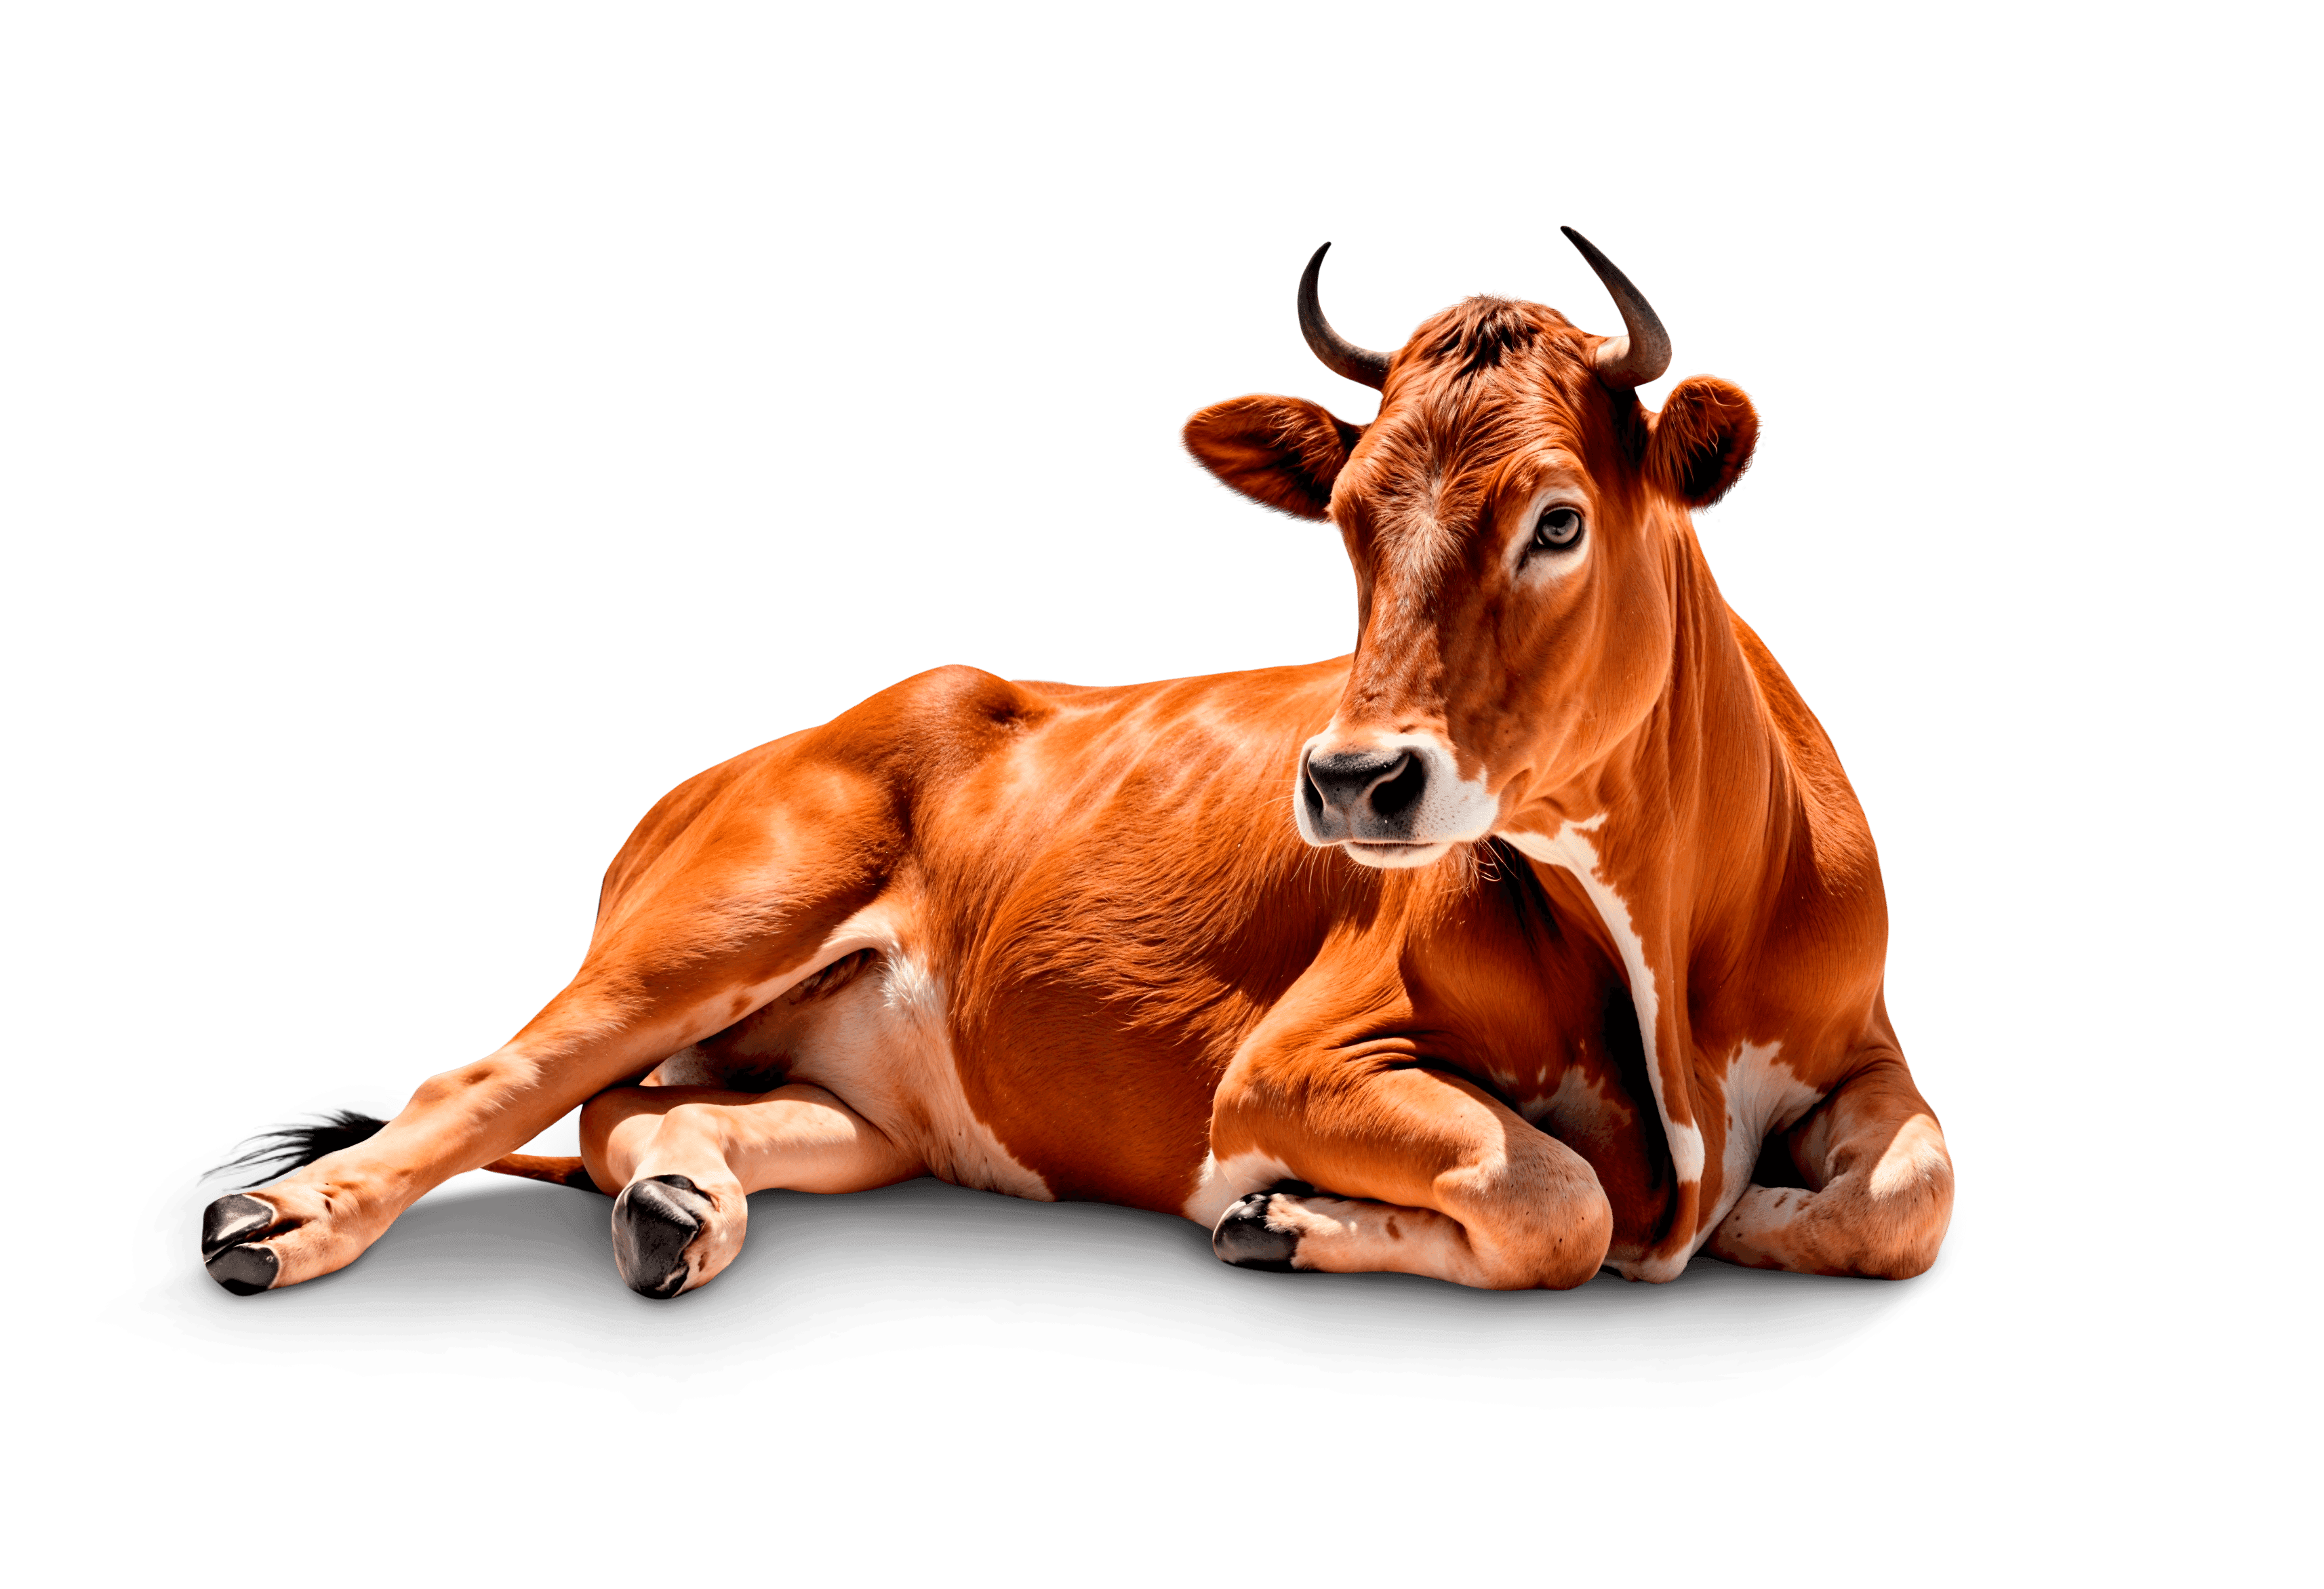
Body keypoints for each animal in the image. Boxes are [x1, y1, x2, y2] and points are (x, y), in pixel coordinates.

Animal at [201, 229, 1955, 1299]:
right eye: (1343, 518)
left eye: (1557, 518)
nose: (1351, 781)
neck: (1671, 953)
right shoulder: (1291, 1060)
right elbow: (1558, 1199)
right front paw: (1299, 1217)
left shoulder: (1856, 1041)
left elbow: (1906, 1190)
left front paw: (1765, 1214)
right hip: (723, 910)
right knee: (493, 1082)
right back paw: (283, 1221)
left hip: (880, 1096)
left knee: (676, 1112)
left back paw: (682, 1201)